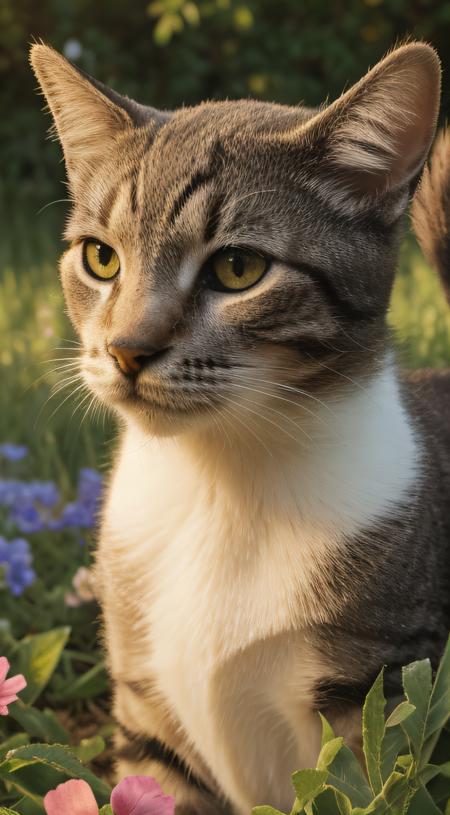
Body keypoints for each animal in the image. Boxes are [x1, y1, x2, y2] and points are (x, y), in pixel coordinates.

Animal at [31, 39, 450, 815]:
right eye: (101, 257)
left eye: (238, 268)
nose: (126, 349)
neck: (219, 483)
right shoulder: (148, 714)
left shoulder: (384, 706)